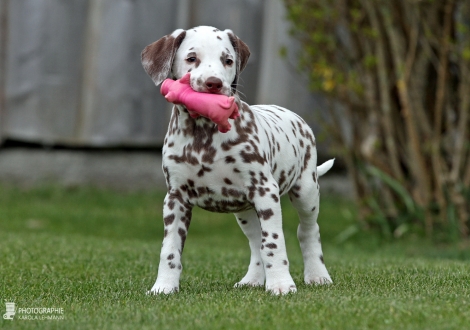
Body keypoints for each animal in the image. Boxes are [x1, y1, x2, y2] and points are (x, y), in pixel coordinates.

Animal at [142, 25, 334, 294]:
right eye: (191, 58)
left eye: (228, 60)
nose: (214, 83)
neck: (204, 137)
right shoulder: (175, 198)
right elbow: (169, 250)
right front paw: (164, 287)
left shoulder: (265, 191)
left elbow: (274, 243)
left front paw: (281, 285)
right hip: (245, 211)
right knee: (255, 242)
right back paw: (252, 279)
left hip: (305, 191)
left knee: (307, 231)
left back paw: (317, 275)